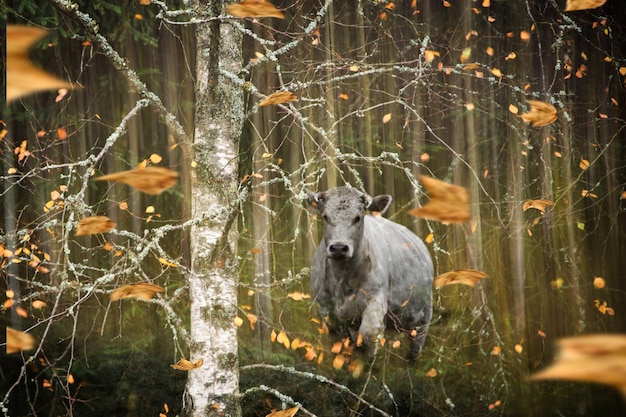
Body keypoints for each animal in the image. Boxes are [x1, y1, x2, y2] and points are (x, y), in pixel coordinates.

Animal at [306, 187, 432, 360]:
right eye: (325, 216)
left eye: (357, 218)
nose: (338, 248)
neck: (342, 280)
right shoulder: (327, 311)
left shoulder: (375, 302)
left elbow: (366, 337)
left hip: (423, 318)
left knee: (414, 349)